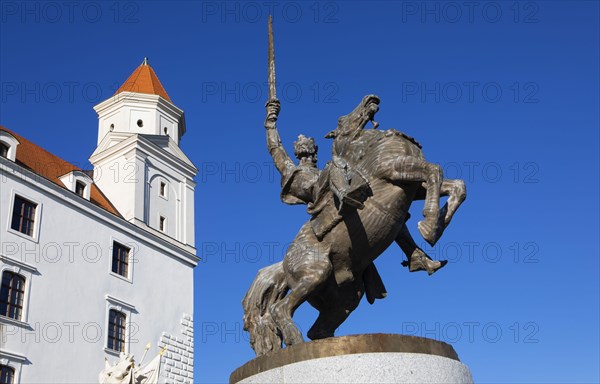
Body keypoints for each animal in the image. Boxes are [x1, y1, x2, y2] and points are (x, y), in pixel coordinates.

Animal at [241, 94, 466, 356]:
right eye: (341, 119)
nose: (371, 99)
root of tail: (283, 266)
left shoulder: (414, 186)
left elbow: (456, 185)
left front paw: (437, 225)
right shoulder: (394, 169)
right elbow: (435, 170)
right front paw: (429, 226)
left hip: (345, 296)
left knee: (318, 329)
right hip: (315, 273)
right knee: (280, 308)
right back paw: (296, 341)